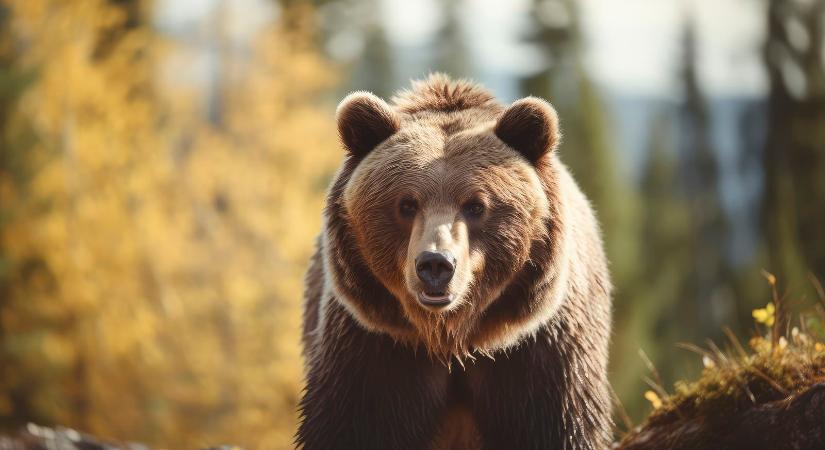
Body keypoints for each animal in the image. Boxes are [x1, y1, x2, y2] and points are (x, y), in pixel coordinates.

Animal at [296, 74, 612, 450]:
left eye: (476, 205)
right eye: (406, 204)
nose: (435, 265)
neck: (451, 338)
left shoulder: (542, 351)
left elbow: (559, 425)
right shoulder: (375, 346)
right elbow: (355, 424)